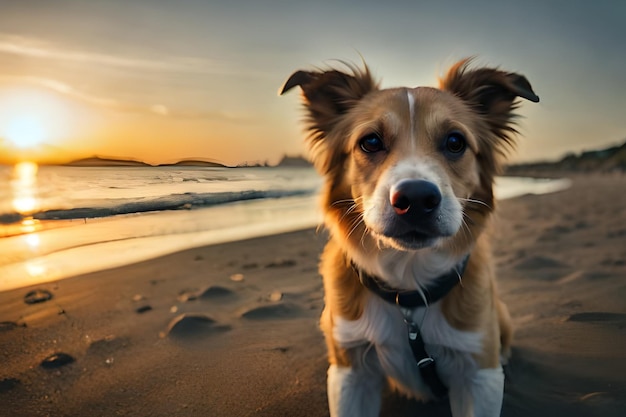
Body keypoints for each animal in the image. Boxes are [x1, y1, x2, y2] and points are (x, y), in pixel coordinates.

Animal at [278, 59, 536, 416]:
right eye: (371, 142)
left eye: (455, 142)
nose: (415, 198)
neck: (409, 291)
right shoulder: (350, 372)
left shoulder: (479, 374)